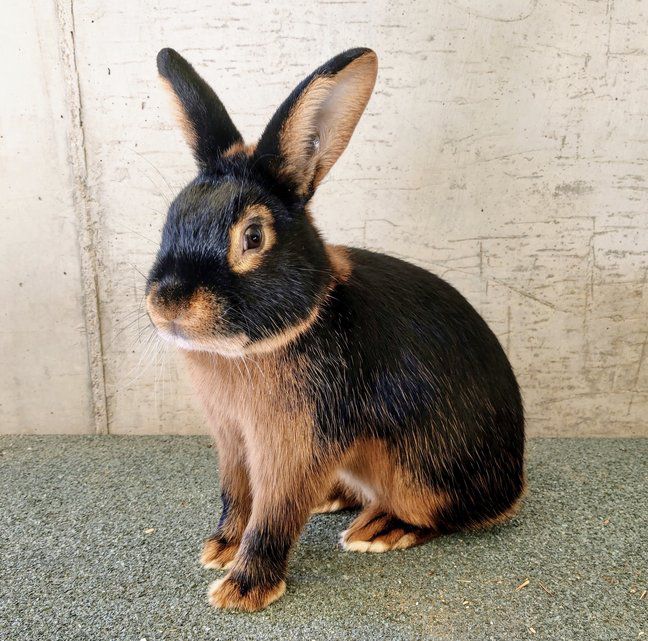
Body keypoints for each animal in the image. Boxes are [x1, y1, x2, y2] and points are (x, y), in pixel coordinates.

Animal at [146, 47, 525, 612]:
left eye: (253, 236)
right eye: (171, 217)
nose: (167, 301)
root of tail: (514, 482)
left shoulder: (295, 446)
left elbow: (274, 515)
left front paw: (241, 589)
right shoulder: (233, 441)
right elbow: (237, 496)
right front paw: (219, 548)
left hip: (424, 471)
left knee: (442, 513)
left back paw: (382, 528)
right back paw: (335, 502)